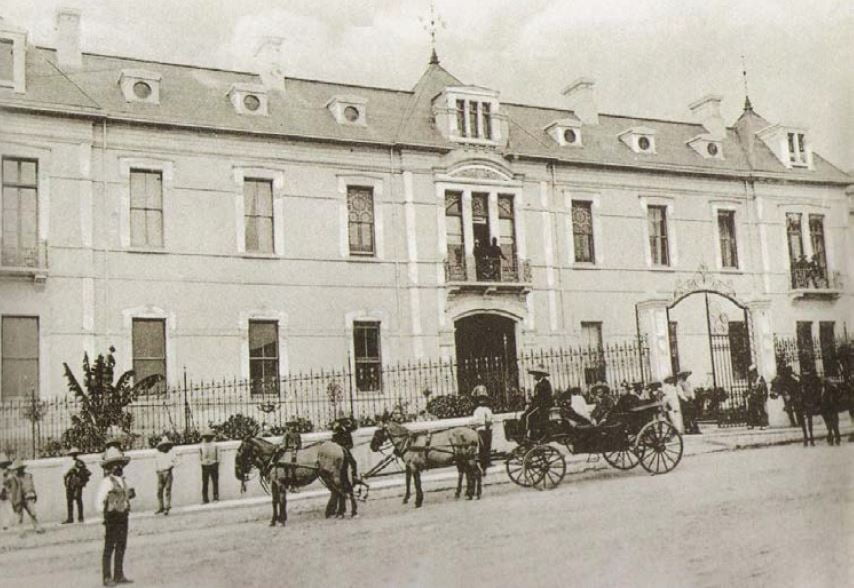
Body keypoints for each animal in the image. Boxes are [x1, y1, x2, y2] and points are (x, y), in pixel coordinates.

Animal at [236, 436, 366, 528]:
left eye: (241, 451)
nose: (237, 474)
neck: (274, 457)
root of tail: (339, 446)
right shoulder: (274, 484)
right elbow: (275, 502)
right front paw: (274, 521)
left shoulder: (280, 483)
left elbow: (282, 501)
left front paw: (282, 520)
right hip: (329, 475)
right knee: (342, 491)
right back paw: (343, 512)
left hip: (334, 475)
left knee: (342, 491)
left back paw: (346, 513)